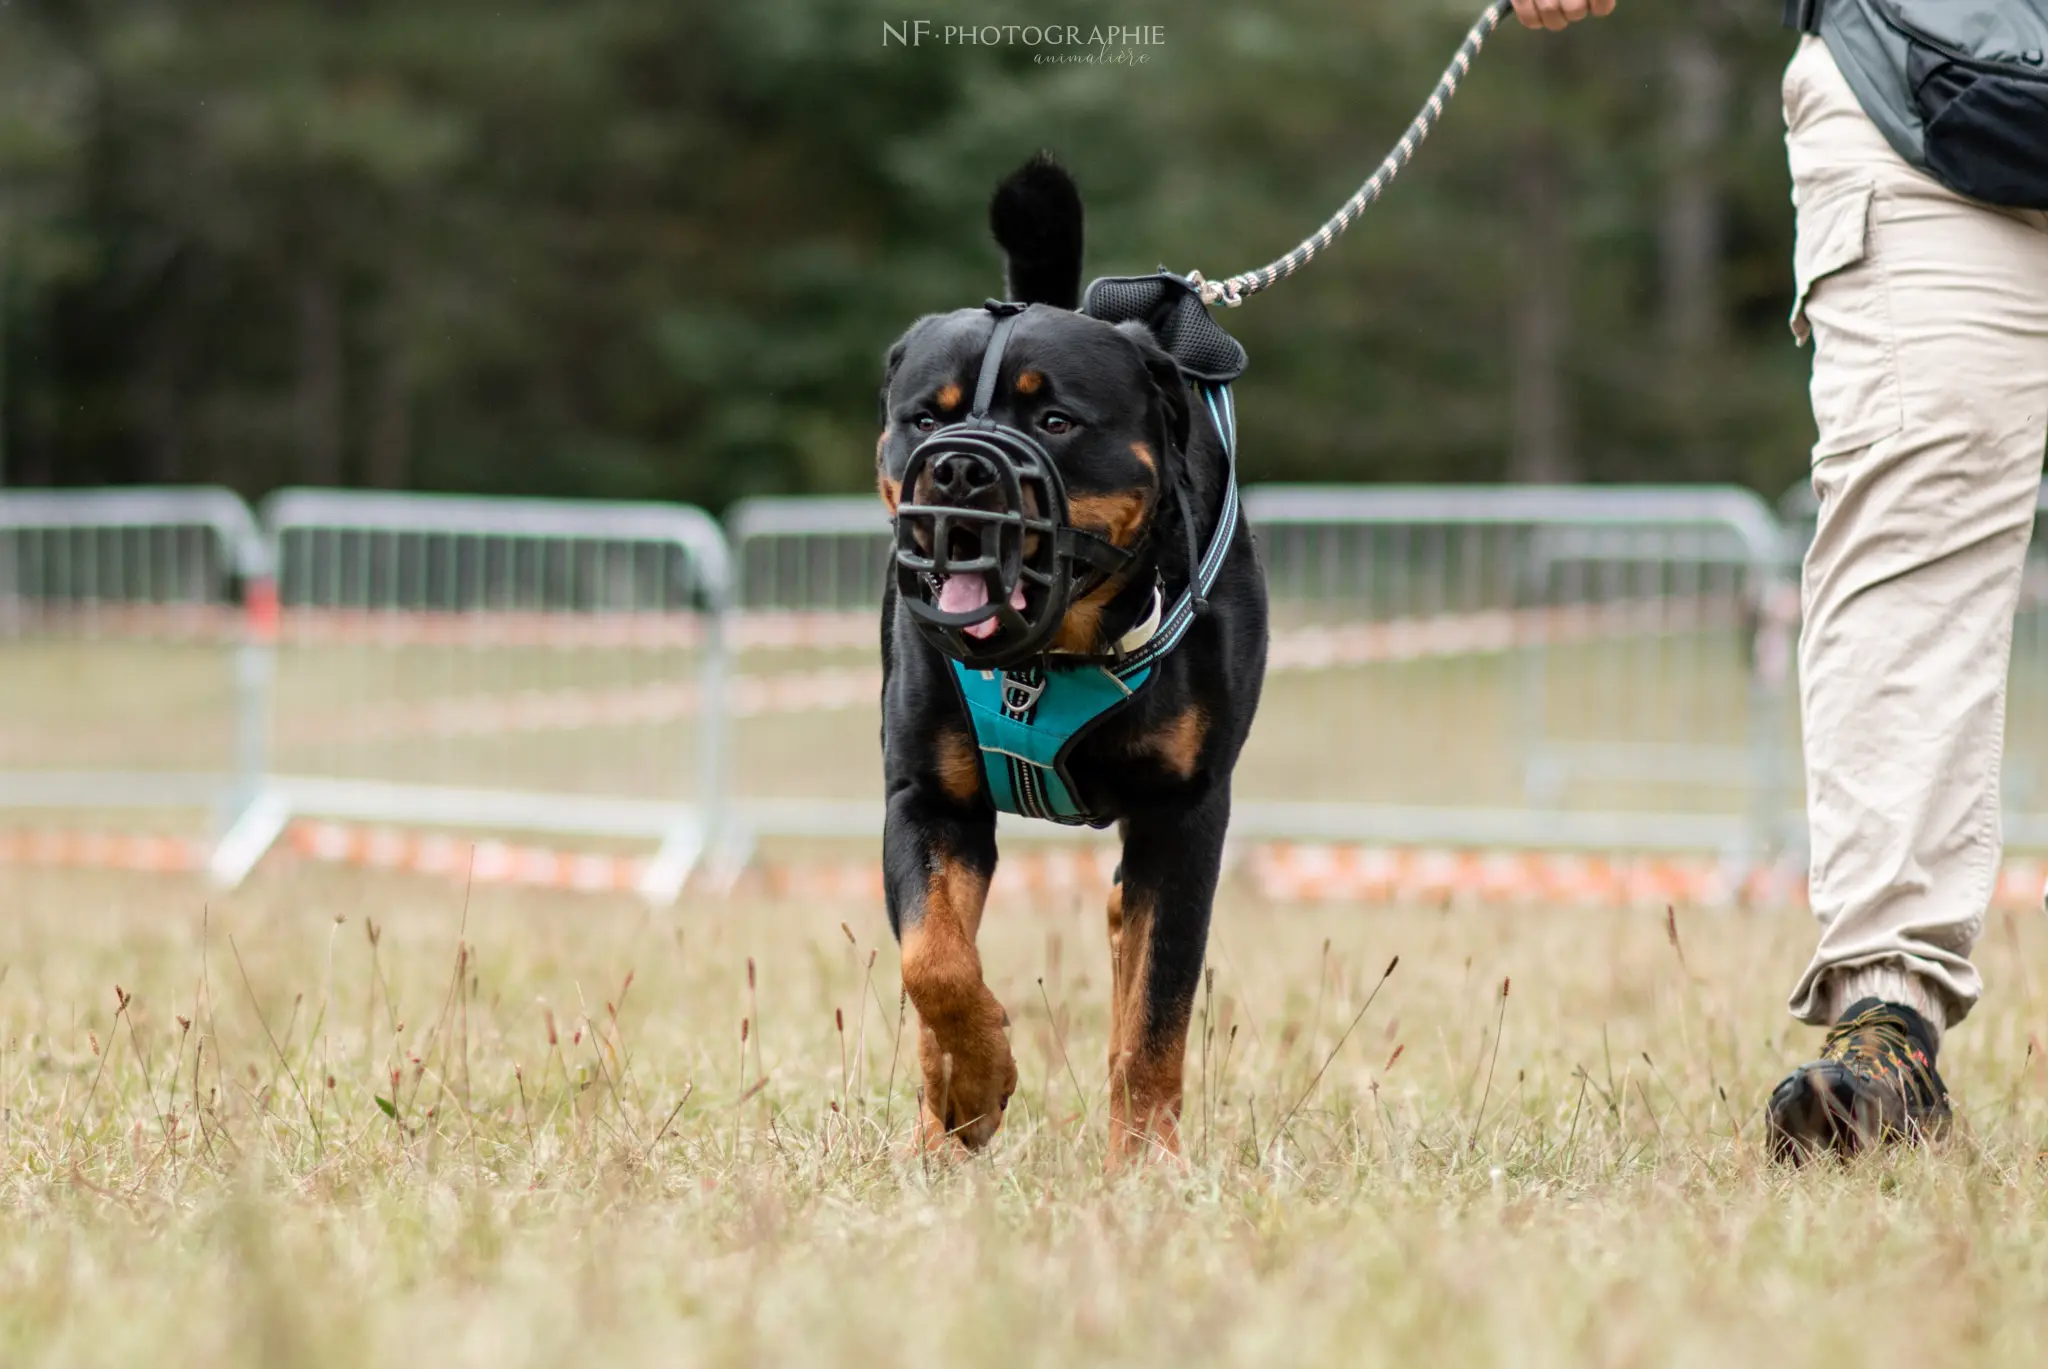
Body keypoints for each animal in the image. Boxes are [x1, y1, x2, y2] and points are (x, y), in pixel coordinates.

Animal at [868, 154, 1261, 1164]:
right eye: (925, 418)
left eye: (1053, 419)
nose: (958, 467)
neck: (1049, 656)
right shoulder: (927, 799)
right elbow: (934, 961)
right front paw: (969, 1091)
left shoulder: (1185, 811)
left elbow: (1157, 1010)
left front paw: (1147, 1160)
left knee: (1135, 942)